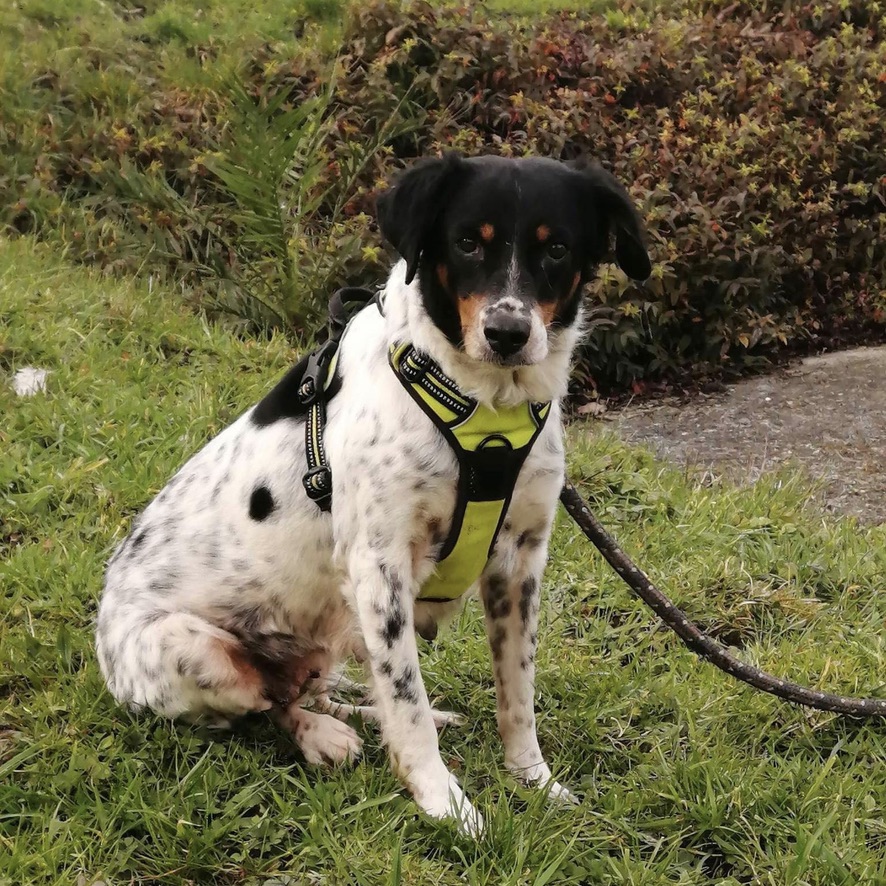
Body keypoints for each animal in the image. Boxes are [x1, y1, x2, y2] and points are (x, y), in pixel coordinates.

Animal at [95, 154, 652, 840]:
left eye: (557, 249)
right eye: (467, 242)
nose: (508, 332)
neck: (485, 406)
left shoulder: (519, 565)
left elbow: (516, 696)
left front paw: (534, 781)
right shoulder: (379, 568)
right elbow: (406, 702)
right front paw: (445, 803)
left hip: (329, 631)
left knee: (318, 688)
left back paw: (356, 716)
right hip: (194, 651)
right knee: (268, 705)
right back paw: (322, 736)